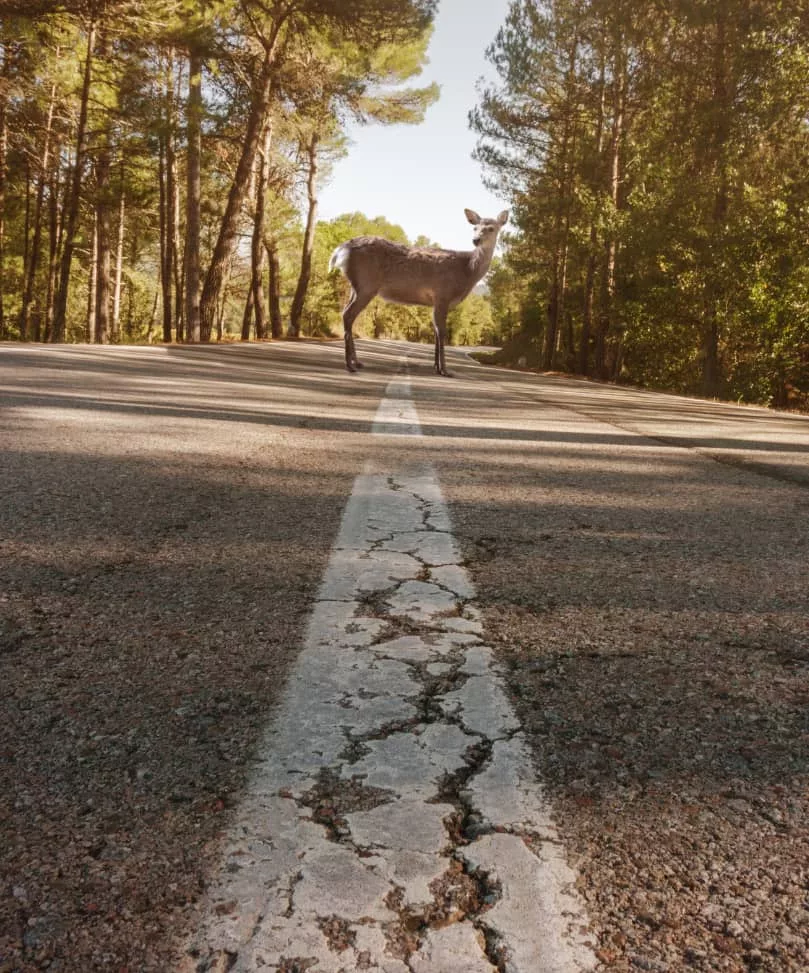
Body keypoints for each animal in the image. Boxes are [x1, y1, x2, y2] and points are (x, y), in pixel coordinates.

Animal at [326, 209, 504, 376]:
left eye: (491, 228)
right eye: (475, 227)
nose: (476, 240)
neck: (467, 271)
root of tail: (341, 249)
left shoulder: (435, 301)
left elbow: (436, 330)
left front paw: (436, 367)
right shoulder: (442, 294)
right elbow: (442, 331)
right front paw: (444, 370)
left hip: (356, 286)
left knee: (346, 314)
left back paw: (357, 362)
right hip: (366, 284)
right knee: (348, 314)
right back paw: (350, 365)